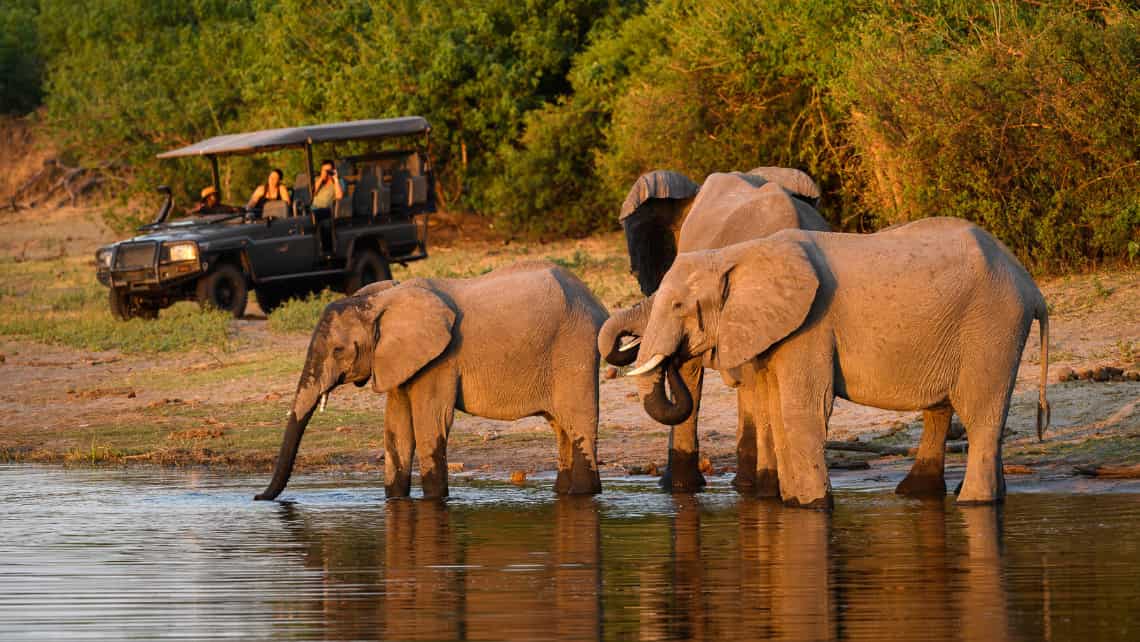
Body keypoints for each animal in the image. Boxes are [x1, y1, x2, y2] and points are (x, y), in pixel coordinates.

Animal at [255, 261, 611, 501]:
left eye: (339, 350)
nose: (257, 498)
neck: (382, 300)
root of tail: (595, 301)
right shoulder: (398, 360)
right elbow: (397, 428)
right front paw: (396, 500)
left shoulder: (441, 359)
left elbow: (431, 421)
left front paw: (434, 500)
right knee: (561, 426)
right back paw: (564, 492)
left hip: (574, 349)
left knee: (578, 421)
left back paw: (584, 494)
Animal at [624, 218, 1048, 510]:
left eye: (679, 306)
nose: (677, 359)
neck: (737, 254)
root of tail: (1031, 286)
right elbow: (777, 411)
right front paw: (793, 503)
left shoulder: (811, 324)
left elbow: (803, 408)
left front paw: (814, 506)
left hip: (992, 325)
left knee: (981, 414)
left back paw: (974, 502)